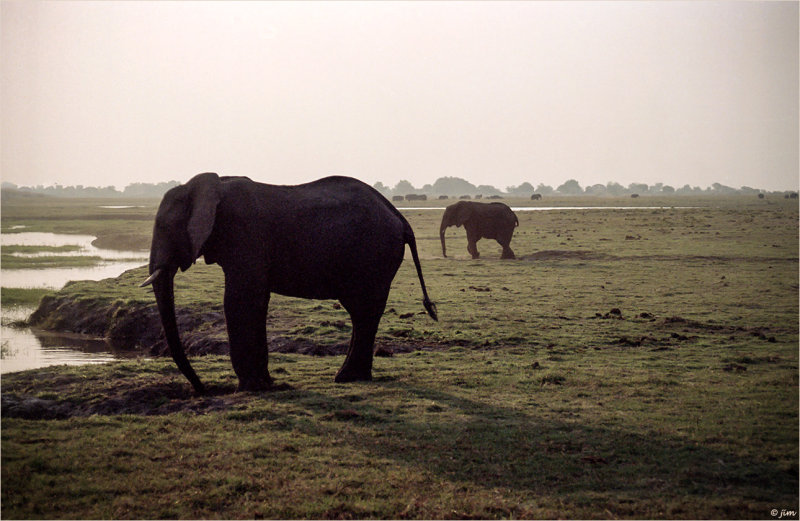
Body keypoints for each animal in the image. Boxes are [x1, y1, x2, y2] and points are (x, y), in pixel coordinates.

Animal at [138, 173, 438, 392]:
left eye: (164, 228)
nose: (202, 389)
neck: (209, 186)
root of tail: (401, 218)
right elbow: (256, 301)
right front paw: (265, 384)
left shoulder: (246, 237)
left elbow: (239, 300)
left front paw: (251, 387)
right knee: (362, 314)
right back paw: (352, 378)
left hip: (373, 255)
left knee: (363, 311)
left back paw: (346, 378)